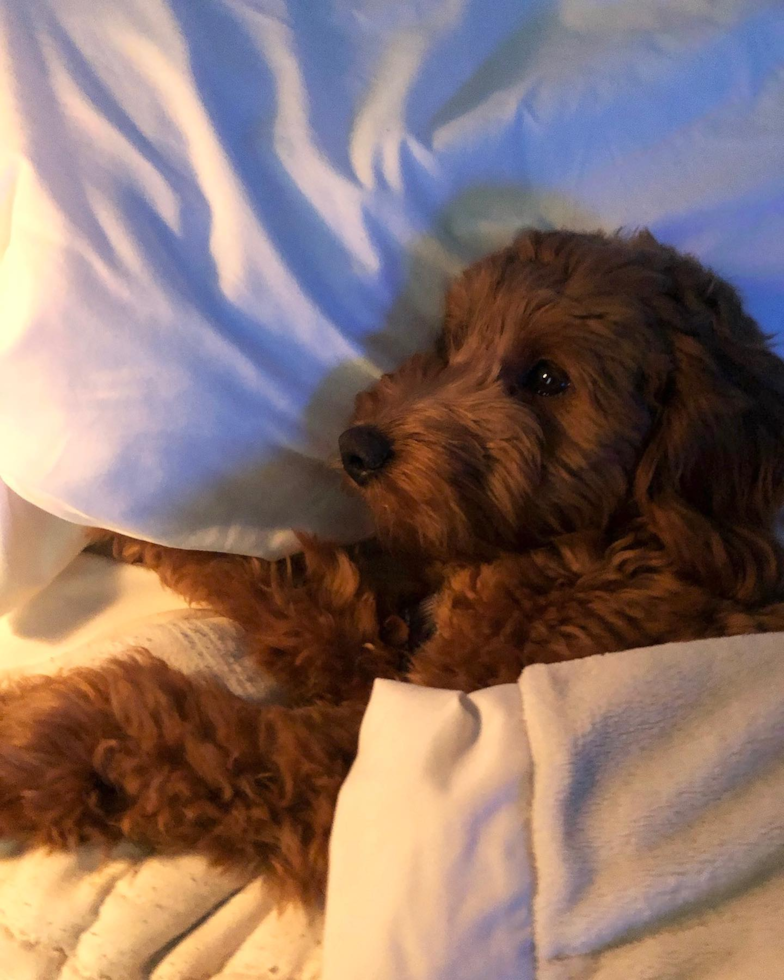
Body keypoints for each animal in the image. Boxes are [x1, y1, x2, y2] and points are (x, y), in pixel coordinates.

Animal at [1, 228, 784, 904]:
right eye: (453, 342)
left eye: (547, 377)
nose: (358, 447)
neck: (609, 547)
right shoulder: (395, 669)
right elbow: (304, 592)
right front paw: (155, 536)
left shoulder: (381, 764)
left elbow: (210, 736)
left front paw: (40, 741)